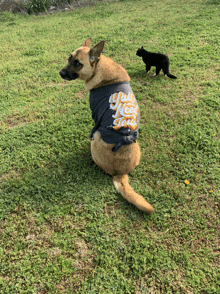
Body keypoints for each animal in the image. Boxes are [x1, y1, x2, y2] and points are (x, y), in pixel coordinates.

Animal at [59, 38, 154, 214]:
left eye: (78, 63)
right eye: (69, 58)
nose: (60, 73)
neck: (98, 69)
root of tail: (121, 174)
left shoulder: (96, 116)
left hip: (97, 139)